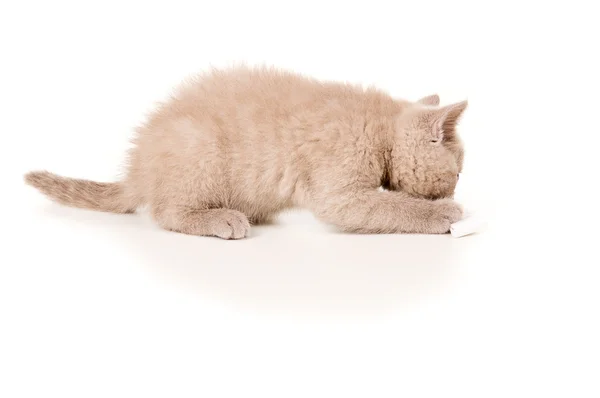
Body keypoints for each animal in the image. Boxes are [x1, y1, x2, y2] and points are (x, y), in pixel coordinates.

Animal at [25, 65, 468, 239]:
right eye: (458, 173)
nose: (454, 190)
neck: (380, 127)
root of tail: (138, 170)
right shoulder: (341, 182)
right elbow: (387, 206)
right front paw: (441, 214)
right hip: (199, 145)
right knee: (166, 212)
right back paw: (220, 218)